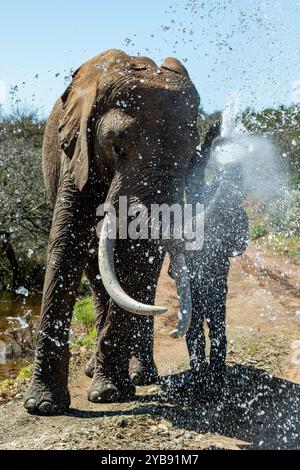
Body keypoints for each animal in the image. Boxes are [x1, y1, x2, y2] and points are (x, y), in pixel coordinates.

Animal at [23, 48, 203, 414]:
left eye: (192, 156)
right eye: (117, 148)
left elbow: (135, 260)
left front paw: (109, 393)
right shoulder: (76, 155)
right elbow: (65, 248)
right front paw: (42, 405)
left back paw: (140, 375)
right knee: (96, 273)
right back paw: (95, 370)